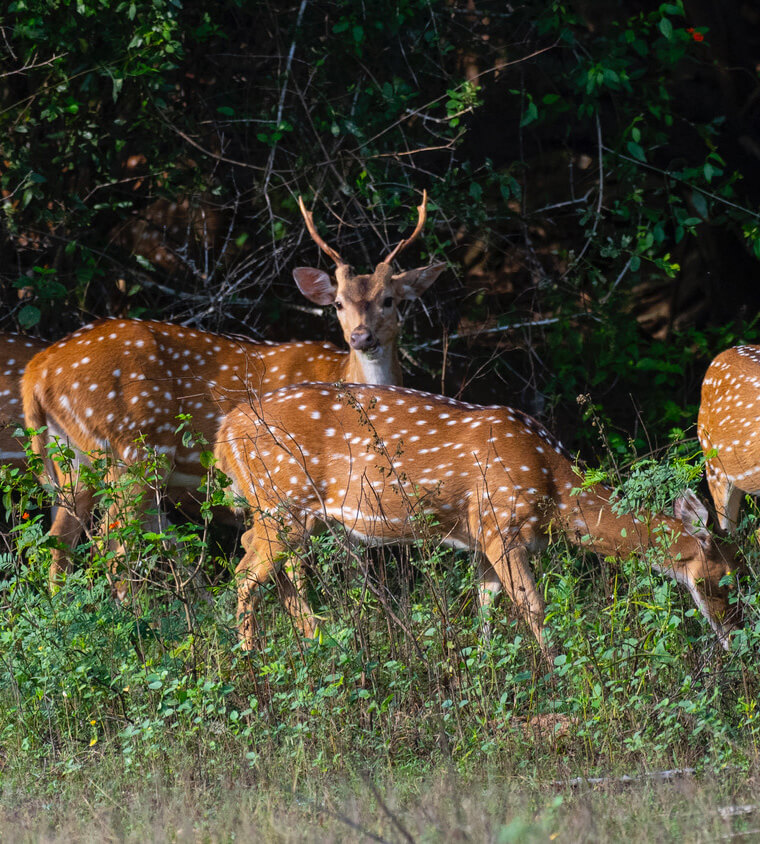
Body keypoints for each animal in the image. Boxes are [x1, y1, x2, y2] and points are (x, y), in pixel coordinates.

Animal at [22, 194, 446, 584]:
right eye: (339, 304)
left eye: (389, 300)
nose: (361, 337)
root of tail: (36, 370)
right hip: (135, 450)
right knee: (110, 543)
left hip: (74, 456)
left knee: (60, 542)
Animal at [214, 380, 744, 652]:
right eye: (725, 580)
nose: (737, 638)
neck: (552, 488)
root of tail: (224, 432)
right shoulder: (500, 523)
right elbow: (534, 607)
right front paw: (555, 672)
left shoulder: (480, 540)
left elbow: (486, 610)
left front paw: (487, 671)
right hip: (283, 499)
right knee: (246, 571)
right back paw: (251, 662)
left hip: (288, 512)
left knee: (262, 560)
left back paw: (321, 644)